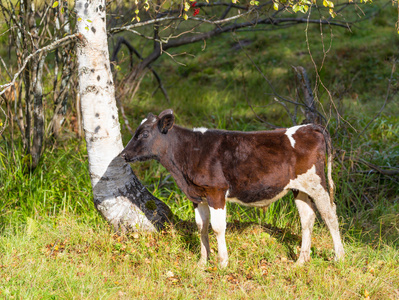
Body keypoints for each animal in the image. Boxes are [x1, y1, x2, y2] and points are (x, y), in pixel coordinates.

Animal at [120, 108, 346, 268]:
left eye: (144, 134)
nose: (123, 154)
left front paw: (222, 263)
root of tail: (309, 127)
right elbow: (201, 227)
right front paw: (202, 262)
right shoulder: (196, 196)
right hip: (300, 188)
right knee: (307, 219)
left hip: (316, 183)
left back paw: (339, 257)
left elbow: (218, 227)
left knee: (330, 215)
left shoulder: (216, 191)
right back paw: (301, 260)